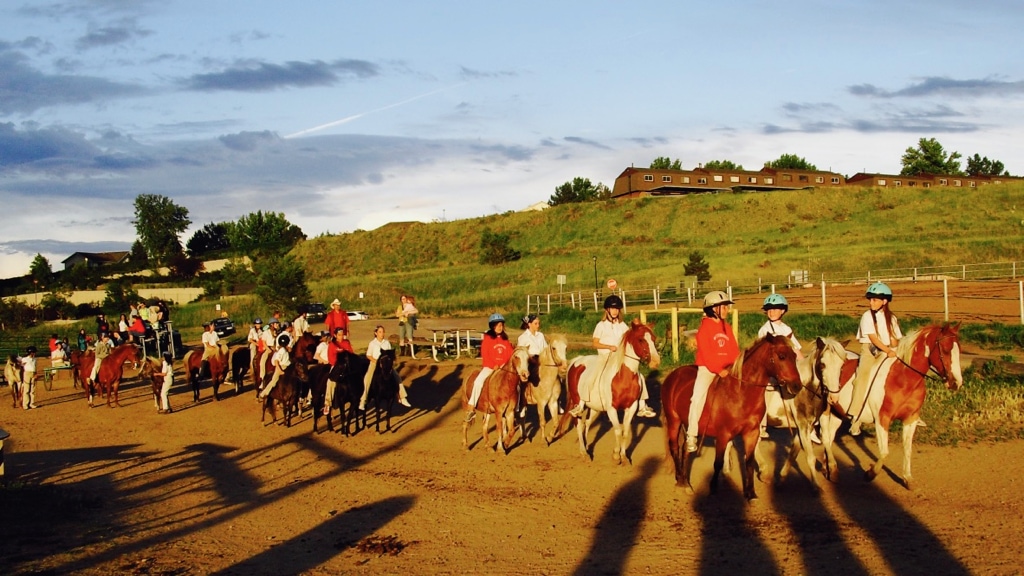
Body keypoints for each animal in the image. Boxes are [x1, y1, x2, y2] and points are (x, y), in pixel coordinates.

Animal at [557, 317, 659, 461]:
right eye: (641, 339)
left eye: (653, 339)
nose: (656, 362)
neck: (623, 377)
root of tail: (577, 360)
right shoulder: (612, 409)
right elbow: (618, 430)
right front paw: (616, 455)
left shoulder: (631, 407)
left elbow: (625, 432)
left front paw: (624, 457)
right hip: (578, 402)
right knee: (578, 424)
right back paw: (583, 452)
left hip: (594, 407)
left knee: (587, 423)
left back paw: (587, 447)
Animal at [659, 332, 802, 498]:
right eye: (781, 356)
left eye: (794, 355)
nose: (797, 386)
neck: (741, 392)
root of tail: (673, 375)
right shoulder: (723, 435)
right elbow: (718, 463)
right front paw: (713, 489)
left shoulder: (751, 433)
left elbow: (749, 462)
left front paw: (750, 492)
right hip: (674, 421)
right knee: (674, 447)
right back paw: (680, 482)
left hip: (690, 425)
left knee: (685, 449)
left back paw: (685, 482)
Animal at [819, 319, 962, 485]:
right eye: (945, 350)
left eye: (960, 350)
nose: (956, 383)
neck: (902, 379)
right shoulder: (883, 419)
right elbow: (884, 452)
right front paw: (870, 473)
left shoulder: (911, 419)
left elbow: (907, 448)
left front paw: (907, 478)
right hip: (825, 409)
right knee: (825, 436)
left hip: (837, 412)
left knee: (829, 437)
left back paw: (828, 468)